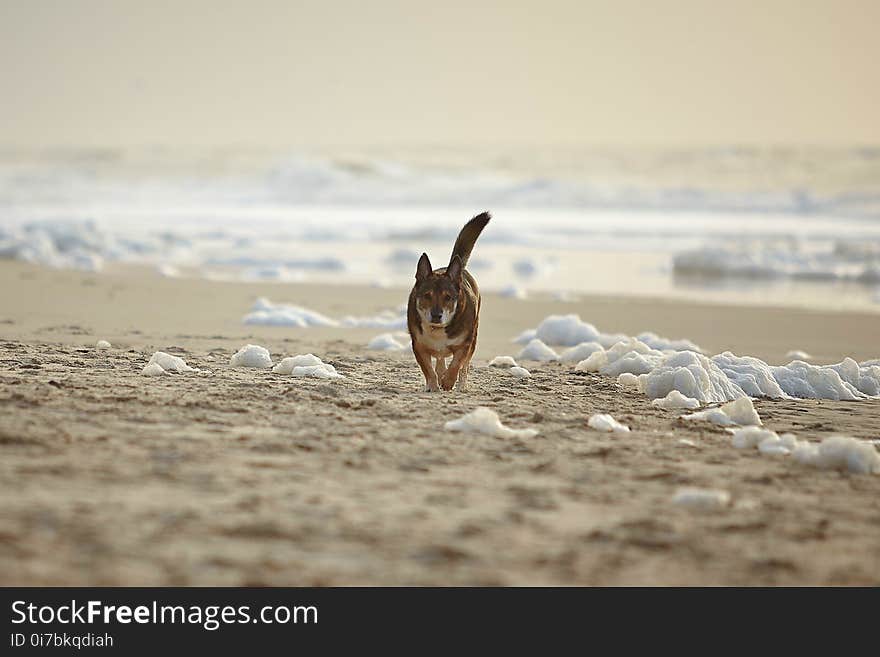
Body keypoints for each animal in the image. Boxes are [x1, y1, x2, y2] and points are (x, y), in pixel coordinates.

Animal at [406, 213, 488, 392]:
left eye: (448, 297)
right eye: (427, 295)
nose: (437, 315)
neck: (437, 330)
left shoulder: (465, 344)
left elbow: (457, 363)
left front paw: (448, 381)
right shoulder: (418, 346)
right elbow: (428, 369)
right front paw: (433, 385)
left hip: (474, 337)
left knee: (465, 367)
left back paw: (461, 385)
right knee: (440, 359)